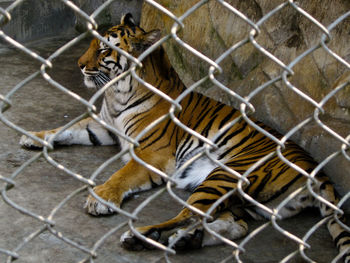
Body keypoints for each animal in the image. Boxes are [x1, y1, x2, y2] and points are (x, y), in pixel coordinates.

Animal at [21, 13, 350, 260]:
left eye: (103, 50)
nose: (78, 65)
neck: (117, 93)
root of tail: (318, 172)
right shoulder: (103, 126)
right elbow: (66, 129)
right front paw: (32, 136)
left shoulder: (151, 153)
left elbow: (121, 175)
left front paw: (101, 198)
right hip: (244, 202)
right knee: (233, 226)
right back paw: (183, 241)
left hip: (225, 176)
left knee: (193, 216)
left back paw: (144, 236)